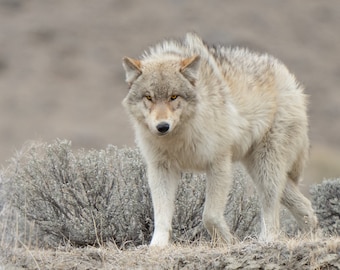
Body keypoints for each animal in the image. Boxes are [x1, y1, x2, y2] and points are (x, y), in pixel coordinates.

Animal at [121, 32, 318, 247]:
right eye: (148, 97)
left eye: (174, 97)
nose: (162, 126)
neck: (180, 137)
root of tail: (290, 80)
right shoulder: (160, 169)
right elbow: (161, 216)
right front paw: (157, 246)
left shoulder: (219, 163)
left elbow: (209, 216)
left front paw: (227, 240)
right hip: (259, 169)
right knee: (306, 205)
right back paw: (311, 234)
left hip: (266, 170)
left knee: (271, 208)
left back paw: (267, 240)